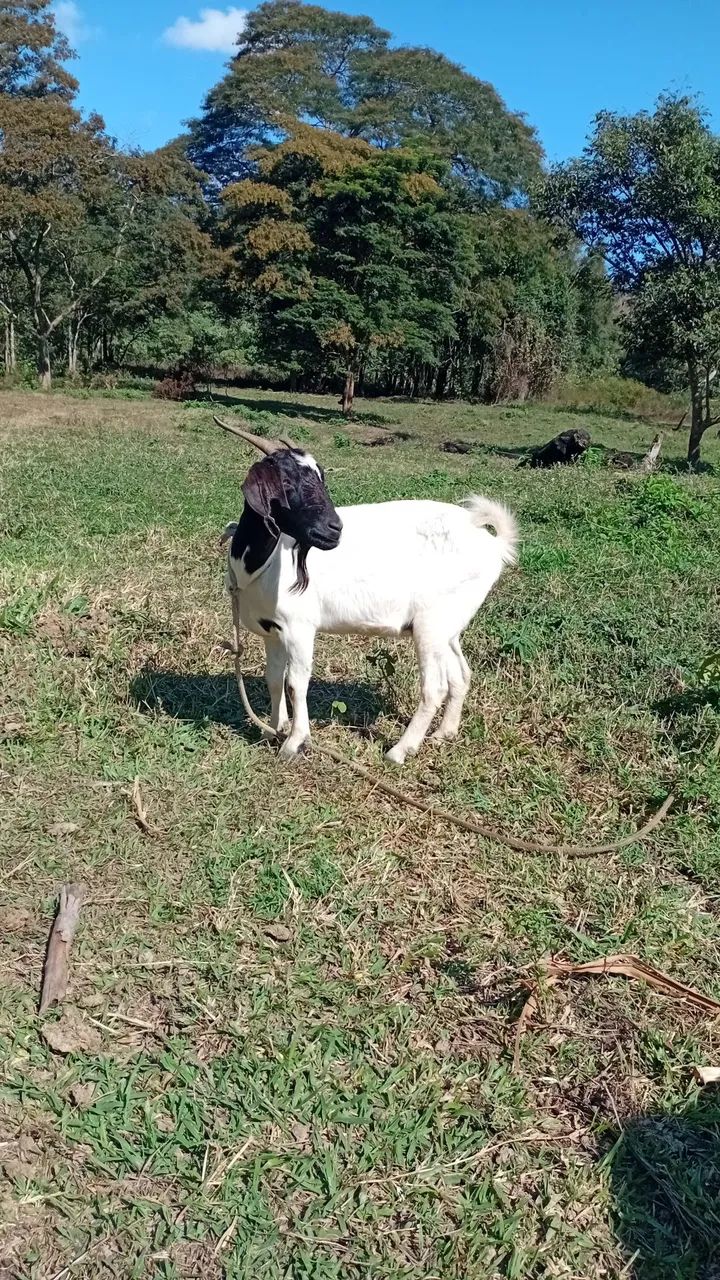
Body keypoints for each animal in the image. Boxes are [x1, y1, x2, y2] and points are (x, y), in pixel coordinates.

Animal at [219, 420, 518, 764]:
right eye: (285, 482)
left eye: (321, 477)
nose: (335, 529)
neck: (260, 563)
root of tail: (493, 544)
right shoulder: (272, 630)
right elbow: (273, 678)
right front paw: (273, 729)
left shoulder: (299, 627)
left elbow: (296, 682)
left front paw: (294, 743)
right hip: (449, 625)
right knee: (461, 674)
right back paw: (444, 733)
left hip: (430, 624)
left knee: (435, 687)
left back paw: (400, 750)